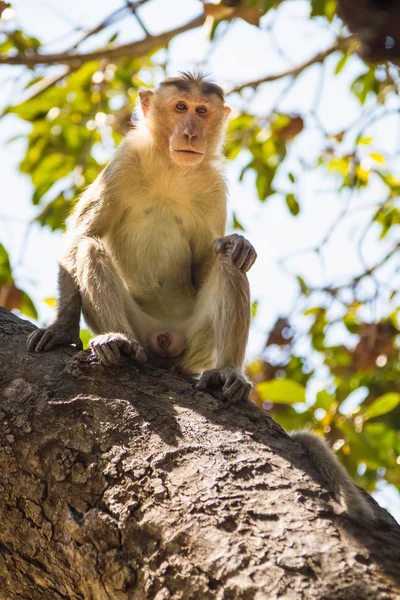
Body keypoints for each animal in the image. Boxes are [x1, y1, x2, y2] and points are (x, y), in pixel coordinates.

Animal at [25, 74, 256, 404]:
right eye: (180, 107)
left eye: (202, 111)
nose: (190, 133)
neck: (172, 169)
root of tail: (164, 339)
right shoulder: (124, 161)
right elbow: (82, 235)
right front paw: (62, 329)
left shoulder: (213, 187)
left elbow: (206, 262)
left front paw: (239, 242)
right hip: (141, 327)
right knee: (89, 248)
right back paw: (119, 342)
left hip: (195, 343)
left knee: (229, 262)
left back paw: (226, 371)